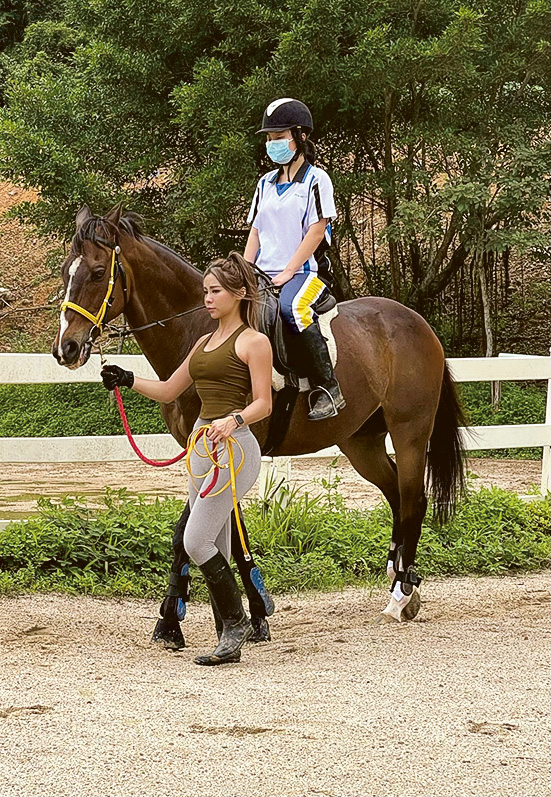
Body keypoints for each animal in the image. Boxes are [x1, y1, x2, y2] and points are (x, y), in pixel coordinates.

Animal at [52, 204, 466, 625]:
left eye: (98, 272)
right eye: (66, 270)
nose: (66, 348)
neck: (201, 329)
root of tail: (418, 324)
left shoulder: (227, 450)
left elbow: (208, 533)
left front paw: (223, 612)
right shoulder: (201, 452)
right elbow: (209, 532)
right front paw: (225, 608)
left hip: (409, 433)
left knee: (413, 501)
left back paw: (400, 594)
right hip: (361, 442)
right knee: (396, 495)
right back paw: (400, 580)